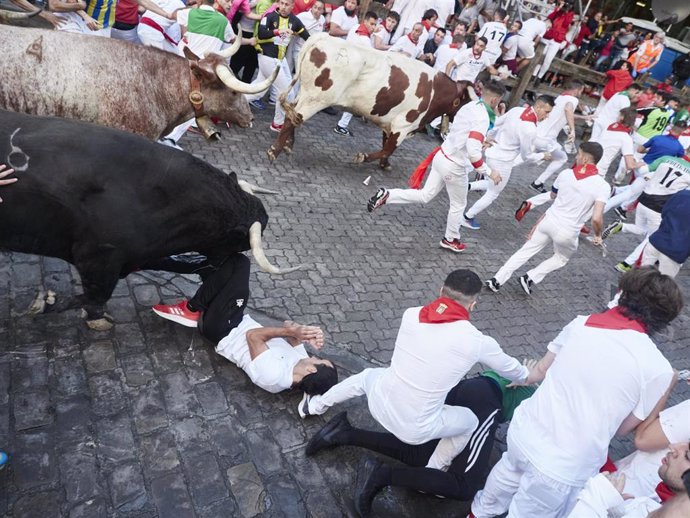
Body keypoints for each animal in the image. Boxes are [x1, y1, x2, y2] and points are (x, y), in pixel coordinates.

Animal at [0, 109, 272, 330]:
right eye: (240, 241)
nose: (221, 264)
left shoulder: (135, 254)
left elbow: (178, 264)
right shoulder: (98, 257)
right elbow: (95, 296)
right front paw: (47, 304)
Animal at [268, 35, 472, 173]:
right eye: (468, 101)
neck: (435, 90)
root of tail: (324, 37)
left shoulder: (390, 123)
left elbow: (385, 146)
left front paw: (385, 165)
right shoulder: (403, 125)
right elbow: (387, 149)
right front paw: (363, 157)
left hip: (305, 94)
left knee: (292, 114)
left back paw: (288, 145)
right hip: (317, 98)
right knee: (294, 117)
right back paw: (274, 151)